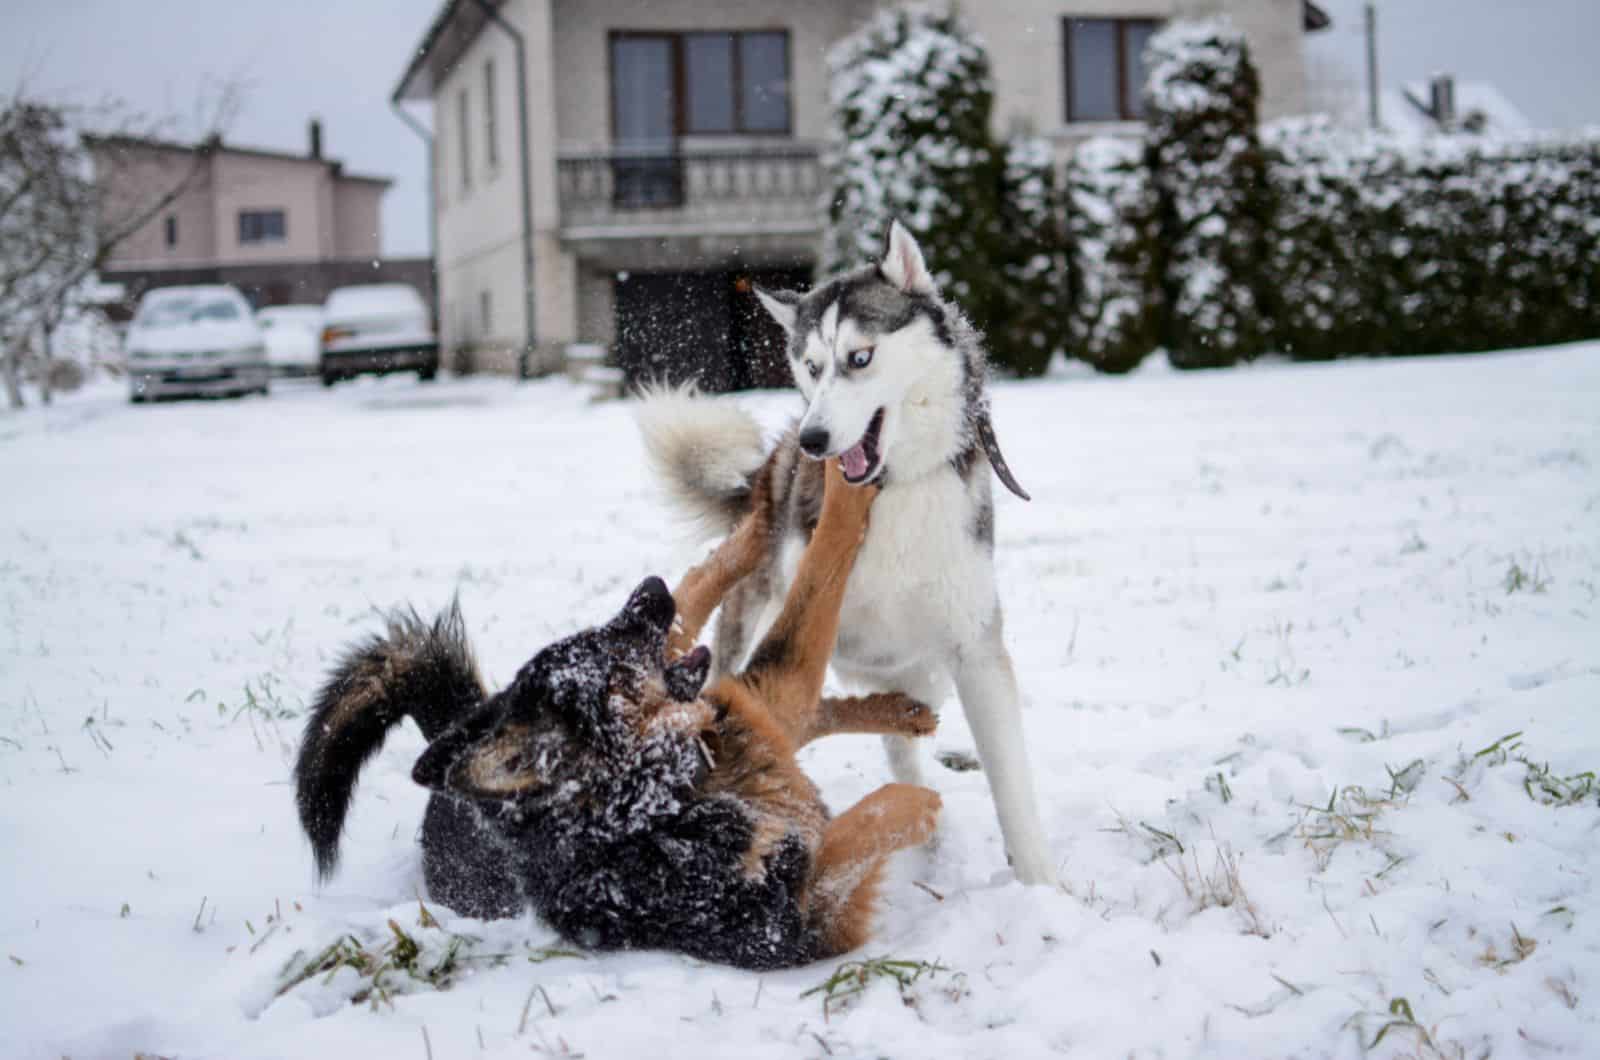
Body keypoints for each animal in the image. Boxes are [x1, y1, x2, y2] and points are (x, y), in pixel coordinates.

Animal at [292, 464, 934, 973]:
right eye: (602, 658)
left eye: (588, 639)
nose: (647, 587)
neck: (663, 799)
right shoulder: (797, 918)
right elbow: (864, 817)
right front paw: (924, 808)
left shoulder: (760, 700)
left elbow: (819, 564)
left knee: (701, 591)